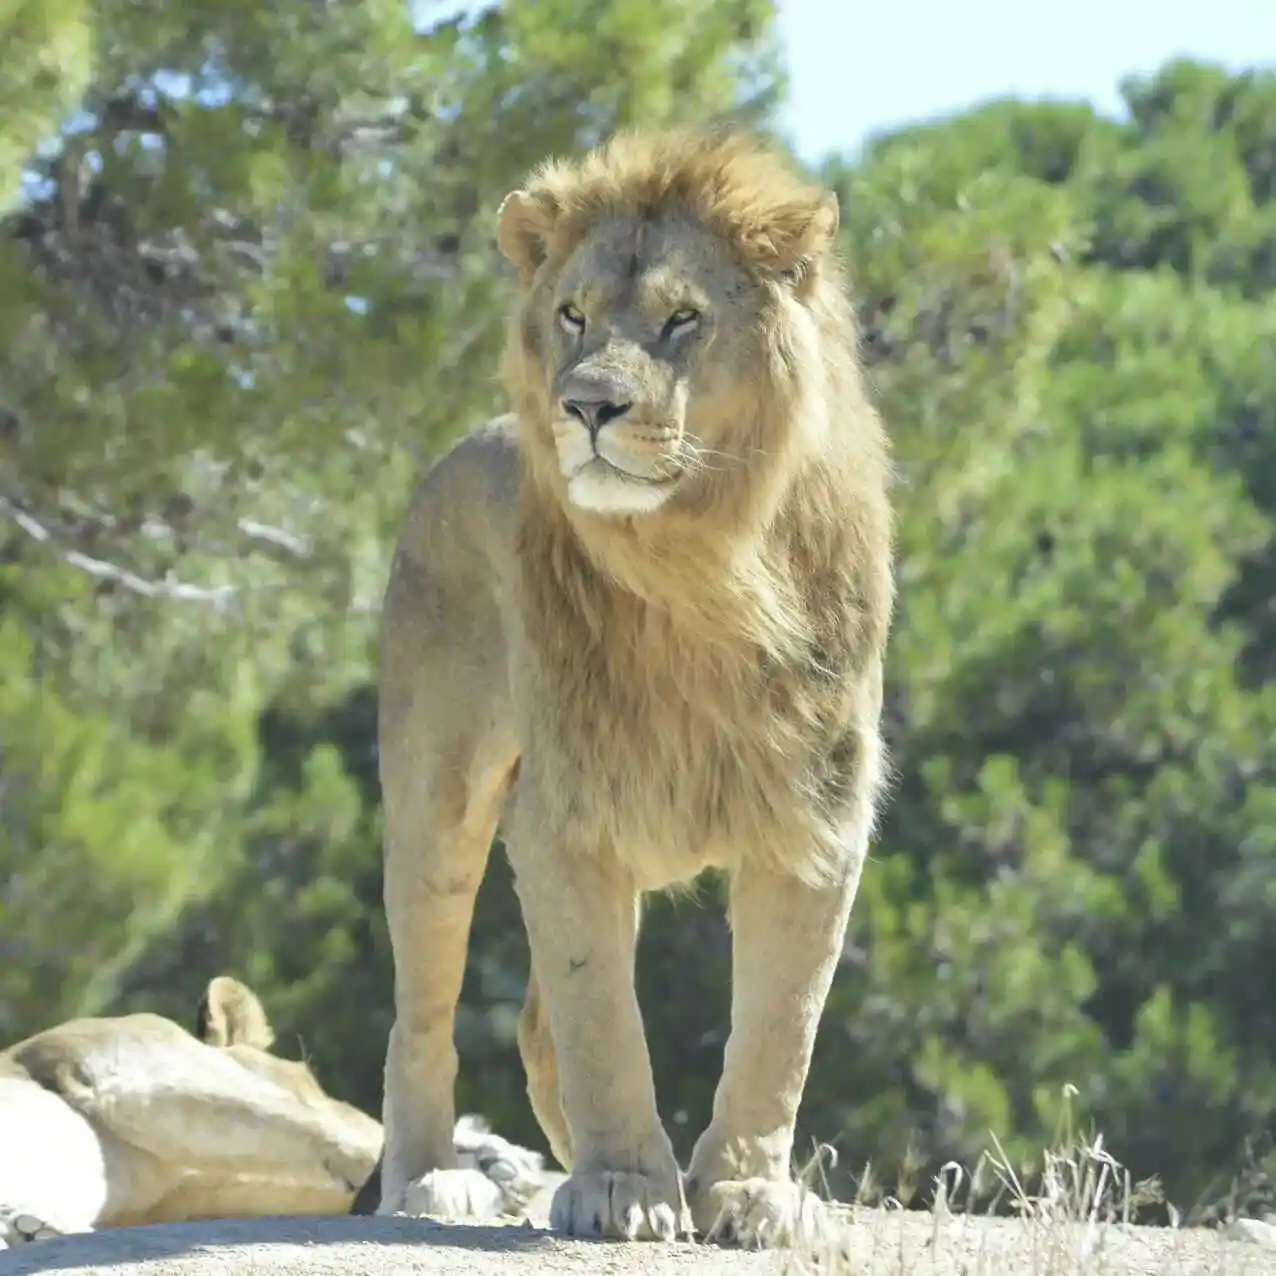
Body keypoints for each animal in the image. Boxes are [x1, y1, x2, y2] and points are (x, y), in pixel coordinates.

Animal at [373, 126, 894, 1249]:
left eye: (681, 319)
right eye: (572, 315)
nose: (586, 405)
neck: (701, 568)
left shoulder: (816, 816)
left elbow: (780, 1029)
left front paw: (745, 1192)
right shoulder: (569, 810)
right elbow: (602, 1017)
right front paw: (623, 1185)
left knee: (534, 1023)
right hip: (437, 804)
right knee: (422, 1006)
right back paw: (432, 1178)